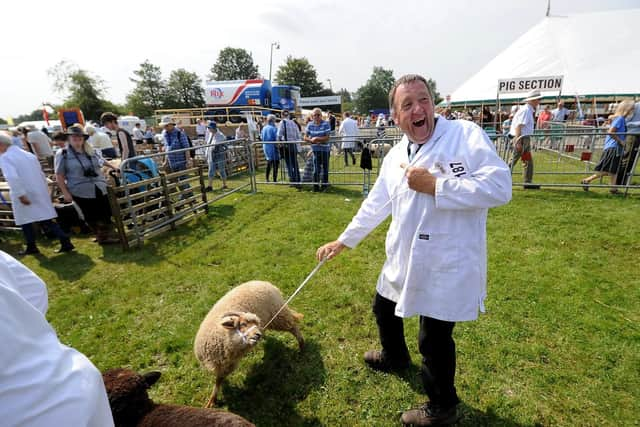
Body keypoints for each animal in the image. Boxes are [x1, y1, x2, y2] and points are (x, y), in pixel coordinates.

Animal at [192, 280, 304, 408]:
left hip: (279, 315)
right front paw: (212, 400)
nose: (258, 334)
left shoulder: (229, 364)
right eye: (243, 324)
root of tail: (265, 283)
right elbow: (218, 381)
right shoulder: (224, 364)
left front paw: (212, 399)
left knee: (293, 327)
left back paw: (302, 346)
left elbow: (218, 380)